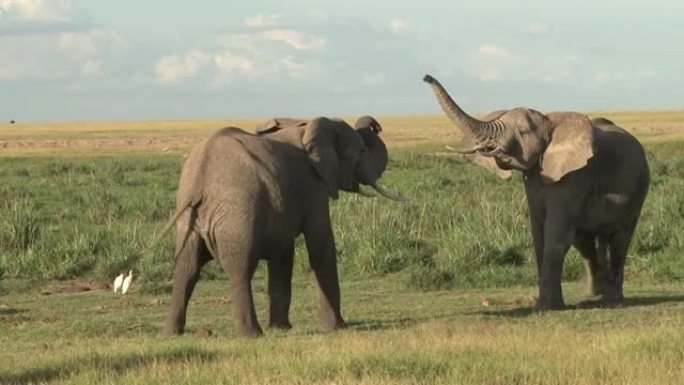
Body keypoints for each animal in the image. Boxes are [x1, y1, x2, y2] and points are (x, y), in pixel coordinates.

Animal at [162, 115, 404, 336]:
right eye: (361, 151)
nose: (376, 125)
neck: (307, 126)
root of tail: (200, 180)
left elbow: (283, 256)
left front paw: (281, 328)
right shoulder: (313, 186)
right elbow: (321, 244)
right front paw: (337, 328)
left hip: (190, 218)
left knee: (186, 267)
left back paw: (172, 332)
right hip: (236, 214)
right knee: (240, 267)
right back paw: (251, 334)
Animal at [422, 74, 652, 308]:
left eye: (523, 132)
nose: (426, 77)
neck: (549, 121)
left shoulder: (575, 175)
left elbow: (556, 234)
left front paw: (547, 307)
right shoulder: (533, 177)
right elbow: (538, 232)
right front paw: (542, 304)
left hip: (639, 189)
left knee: (619, 240)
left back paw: (612, 300)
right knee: (585, 240)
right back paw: (597, 293)